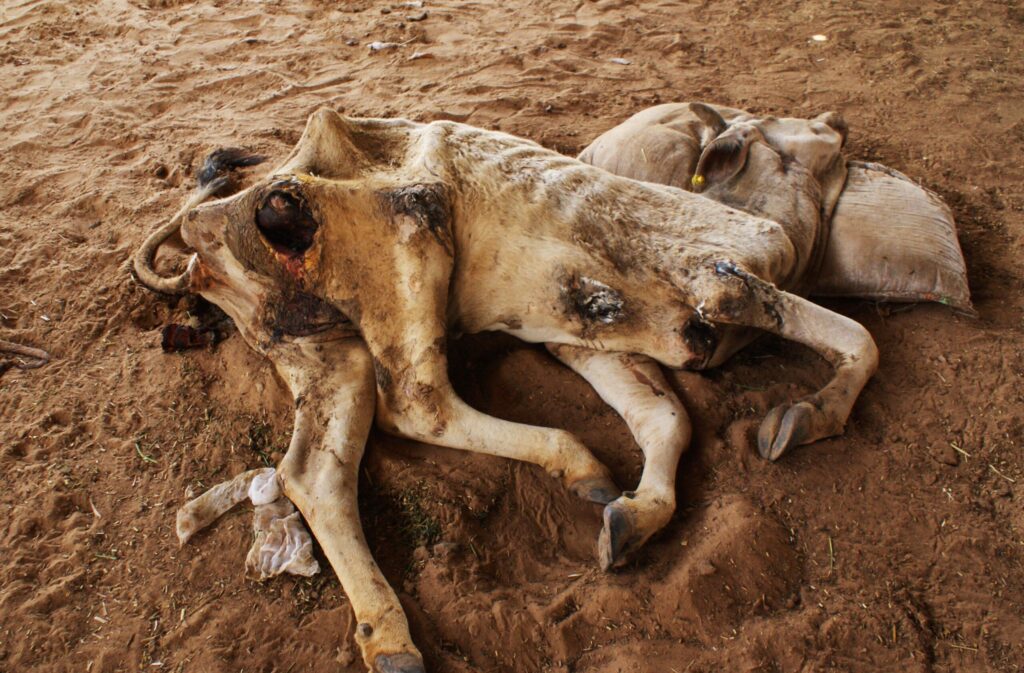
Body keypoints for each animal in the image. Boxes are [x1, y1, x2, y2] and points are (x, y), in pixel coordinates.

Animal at [133, 108, 878, 672]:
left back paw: (392, 636)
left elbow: (665, 416)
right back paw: (572, 458)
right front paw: (811, 411)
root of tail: (201, 246)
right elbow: (847, 333)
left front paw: (634, 517)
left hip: (323, 349)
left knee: (315, 471)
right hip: (406, 233)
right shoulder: (715, 275)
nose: (841, 125)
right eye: (808, 143)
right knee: (418, 403)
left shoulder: (583, 336)